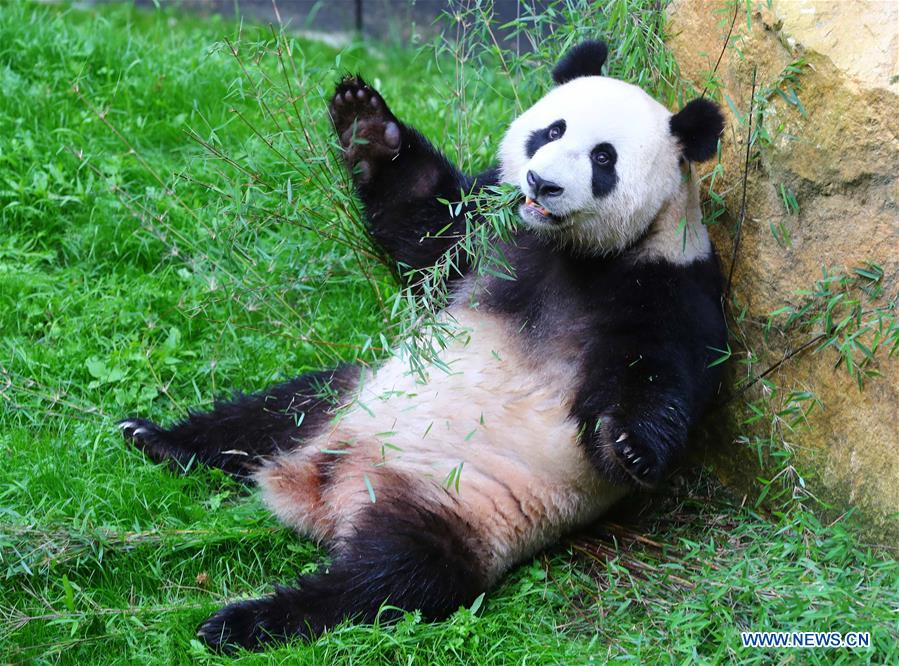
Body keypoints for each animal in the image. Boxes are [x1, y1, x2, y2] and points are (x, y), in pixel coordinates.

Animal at [119, 40, 726, 652]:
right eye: (551, 131)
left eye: (604, 159)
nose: (541, 184)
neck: (569, 249)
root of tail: (322, 493)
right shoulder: (488, 230)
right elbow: (424, 226)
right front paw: (364, 118)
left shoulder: (669, 287)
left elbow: (658, 375)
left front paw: (629, 447)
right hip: (344, 397)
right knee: (268, 414)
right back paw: (157, 439)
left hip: (456, 510)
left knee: (389, 580)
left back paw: (245, 621)